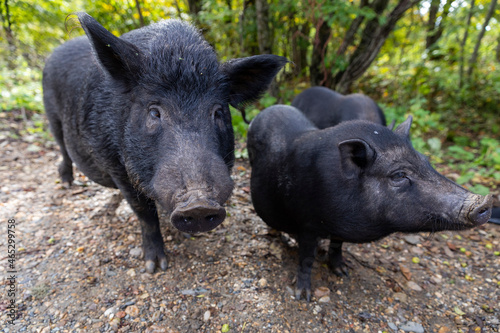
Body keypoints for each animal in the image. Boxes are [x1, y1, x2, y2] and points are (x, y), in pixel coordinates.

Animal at [44, 13, 288, 272]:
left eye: (218, 112)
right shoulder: (116, 167)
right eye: (154, 112)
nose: (199, 203)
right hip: (52, 117)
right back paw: (67, 183)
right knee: (62, 148)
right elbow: (145, 214)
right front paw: (155, 266)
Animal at [248, 105, 490, 300]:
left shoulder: (337, 230)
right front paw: (303, 297)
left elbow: (337, 246)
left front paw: (343, 272)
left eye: (426, 161)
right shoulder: (307, 224)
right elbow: (306, 259)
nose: (484, 202)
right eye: (399, 175)